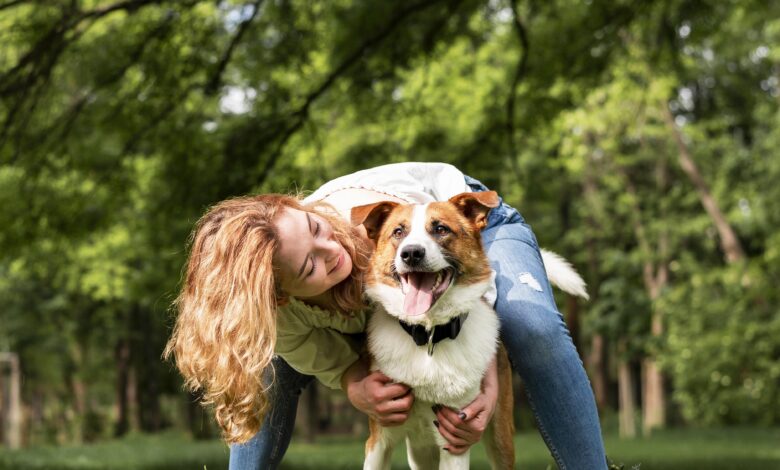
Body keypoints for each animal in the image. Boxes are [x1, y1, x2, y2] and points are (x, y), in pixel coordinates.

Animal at [350, 189, 588, 468]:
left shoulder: (455, 439)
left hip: (500, 436)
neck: (429, 335)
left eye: (440, 229)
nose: (411, 253)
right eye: (398, 232)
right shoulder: (379, 439)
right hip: (420, 452)